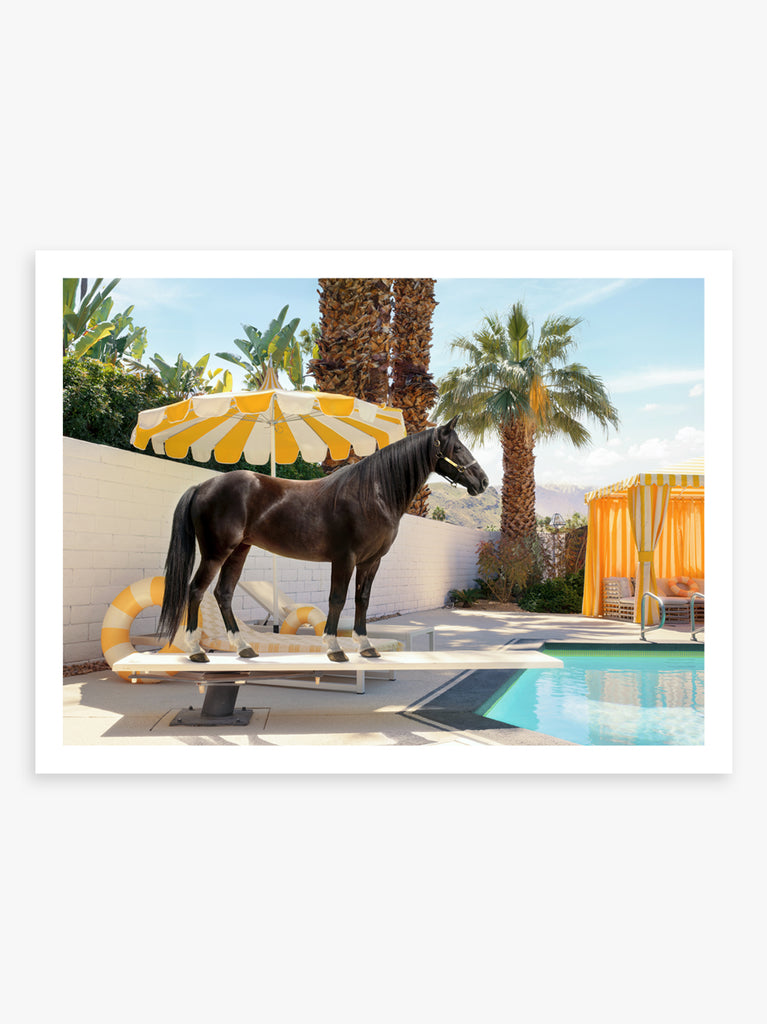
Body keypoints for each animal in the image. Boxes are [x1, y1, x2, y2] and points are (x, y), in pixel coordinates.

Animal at [157, 416, 489, 663]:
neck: (373, 494)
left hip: (239, 551)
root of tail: (203, 486)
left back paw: (244, 648)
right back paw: (196, 651)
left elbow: (362, 600)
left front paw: (366, 646)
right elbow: (337, 599)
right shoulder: (345, 559)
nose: (483, 481)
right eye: (457, 447)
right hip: (216, 552)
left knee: (223, 594)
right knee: (196, 591)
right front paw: (335, 648)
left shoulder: (371, 561)